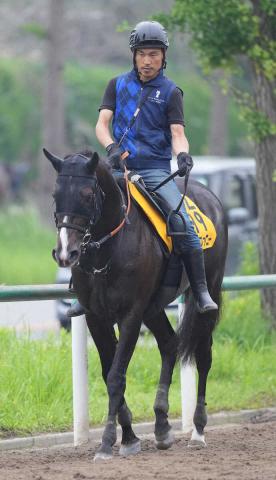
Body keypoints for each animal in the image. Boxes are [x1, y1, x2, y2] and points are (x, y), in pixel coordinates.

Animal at [44, 147, 227, 462]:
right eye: (56, 194)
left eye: (87, 194)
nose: (67, 253)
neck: (108, 249)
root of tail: (210, 197)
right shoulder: (96, 316)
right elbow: (108, 372)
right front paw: (129, 436)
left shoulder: (130, 315)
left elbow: (116, 376)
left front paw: (107, 442)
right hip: (153, 308)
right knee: (169, 344)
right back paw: (162, 425)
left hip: (207, 293)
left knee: (203, 355)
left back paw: (198, 431)